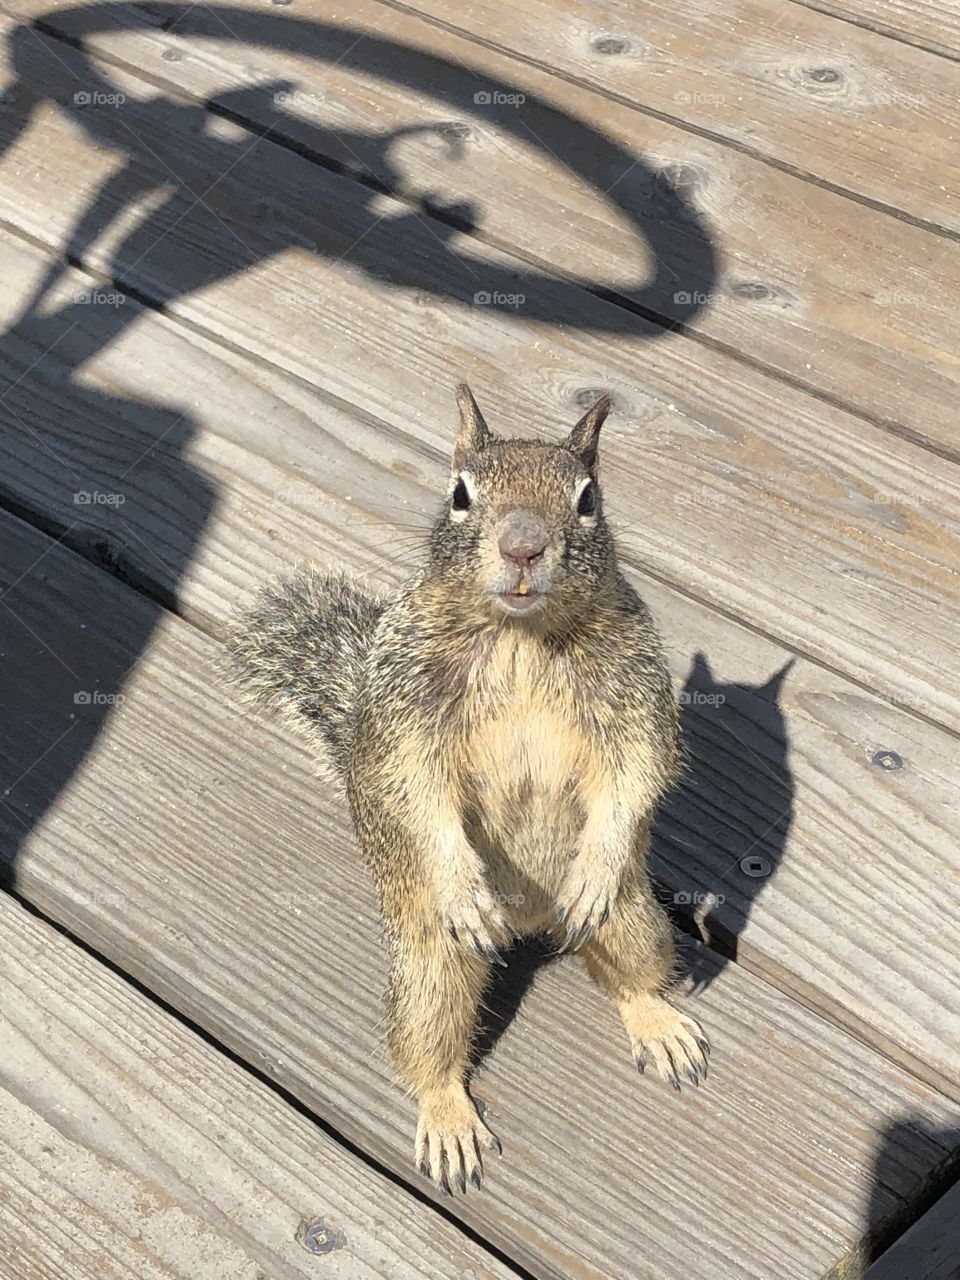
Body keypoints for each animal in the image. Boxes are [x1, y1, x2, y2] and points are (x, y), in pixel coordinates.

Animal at [226, 385, 709, 1195]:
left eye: (587, 499)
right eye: (459, 494)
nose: (523, 546)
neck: (520, 635)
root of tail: (531, 922)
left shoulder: (636, 686)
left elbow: (639, 767)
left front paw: (603, 853)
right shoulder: (404, 707)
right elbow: (414, 787)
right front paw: (458, 875)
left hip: (634, 917)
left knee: (631, 970)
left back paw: (658, 1021)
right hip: (431, 961)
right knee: (425, 1043)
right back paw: (447, 1114)